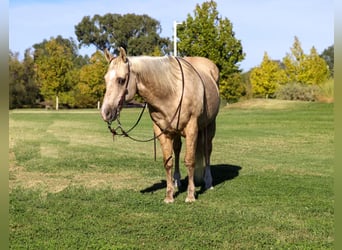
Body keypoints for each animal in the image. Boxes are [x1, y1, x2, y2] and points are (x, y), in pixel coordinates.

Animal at [100, 47, 220, 203]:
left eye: (121, 80)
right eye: (105, 79)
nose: (105, 112)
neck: (172, 91)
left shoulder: (192, 128)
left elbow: (190, 160)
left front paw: (190, 195)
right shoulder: (162, 131)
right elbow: (168, 162)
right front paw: (169, 195)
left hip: (209, 126)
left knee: (207, 150)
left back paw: (208, 182)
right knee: (177, 150)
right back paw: (177, 181)